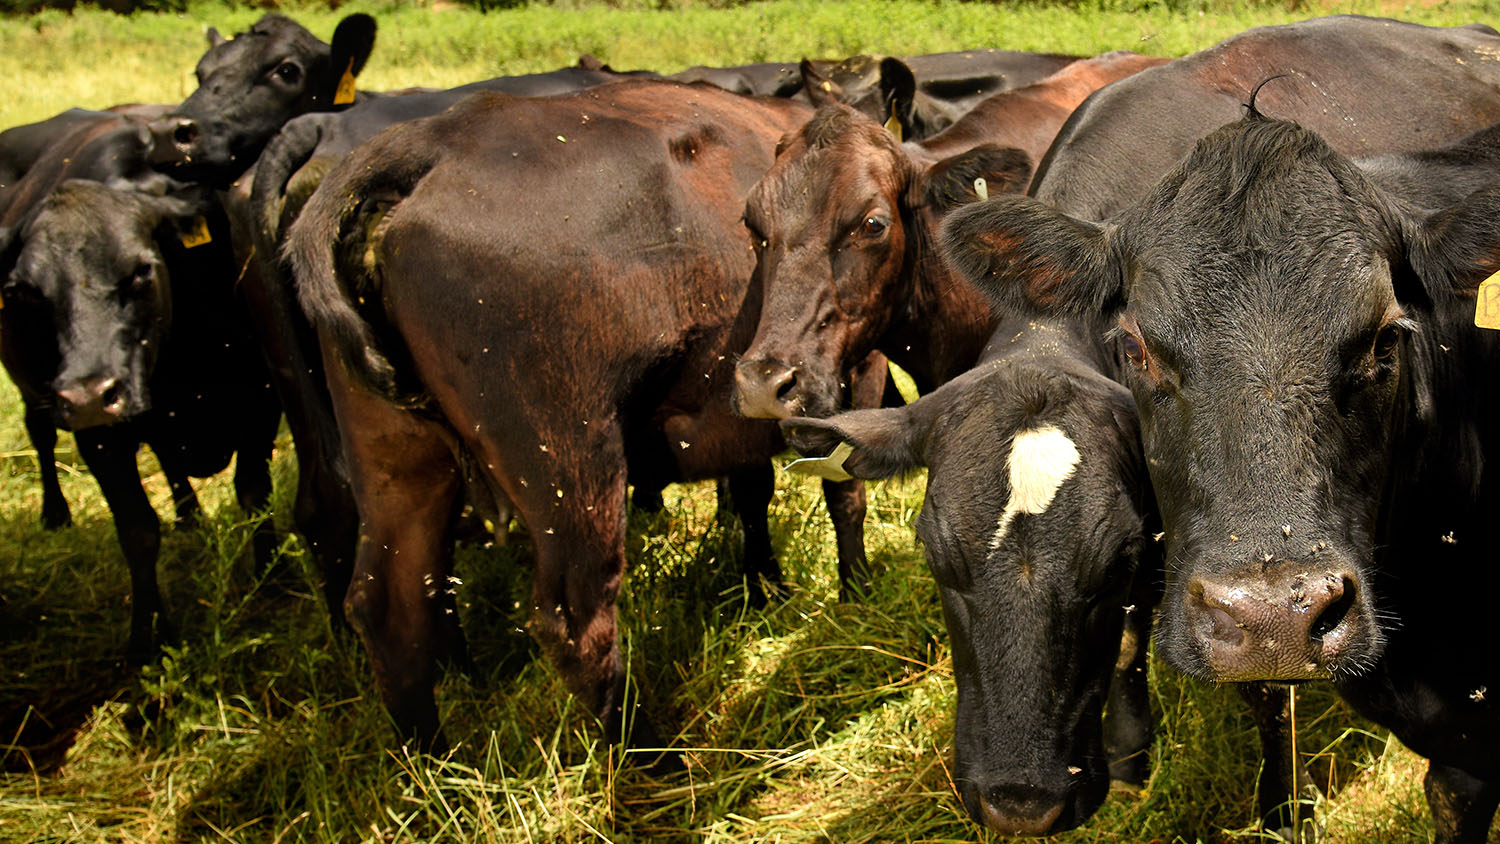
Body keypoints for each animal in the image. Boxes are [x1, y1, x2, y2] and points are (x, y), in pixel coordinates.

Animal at [280, 80, 882, 752]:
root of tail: (435, 139)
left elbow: (755, 492)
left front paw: (767, 586)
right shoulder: (859, 372)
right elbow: (846, 495)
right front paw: (857, 591)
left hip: (400, 466)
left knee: (391, 610)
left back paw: (430, 764)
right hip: (570, 467)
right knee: (578, 624)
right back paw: (651, 758)